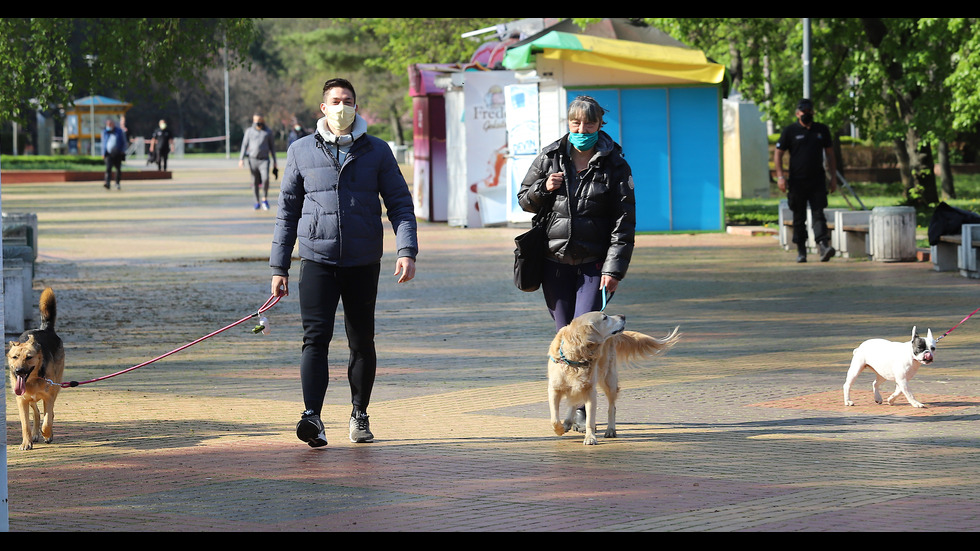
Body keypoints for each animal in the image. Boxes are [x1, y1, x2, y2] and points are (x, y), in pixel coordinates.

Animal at [6, 286, 64, 450]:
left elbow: (48, 420)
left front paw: (47, 434)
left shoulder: (48, 397)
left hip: (56, 387)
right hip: (29, 399)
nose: (18, 371)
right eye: (15, 357)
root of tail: (44, 329)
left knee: (49, 414)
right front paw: (27, 442)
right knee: (36, 413)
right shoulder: (21, 400)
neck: (32, 380)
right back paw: (35, 434)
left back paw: (46, 434)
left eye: (29, 357)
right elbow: (25, 424)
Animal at [548, 312, 676, 446]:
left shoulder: (590, 391)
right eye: (605, 317)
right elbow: (554, 419)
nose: (623, 316)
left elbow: (590, 421)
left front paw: (590, 437)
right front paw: (559, 429)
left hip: (609, 380)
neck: (574, 359)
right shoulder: (554, 389)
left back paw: (610, 430)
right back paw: (567, 422)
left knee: (612, 408)